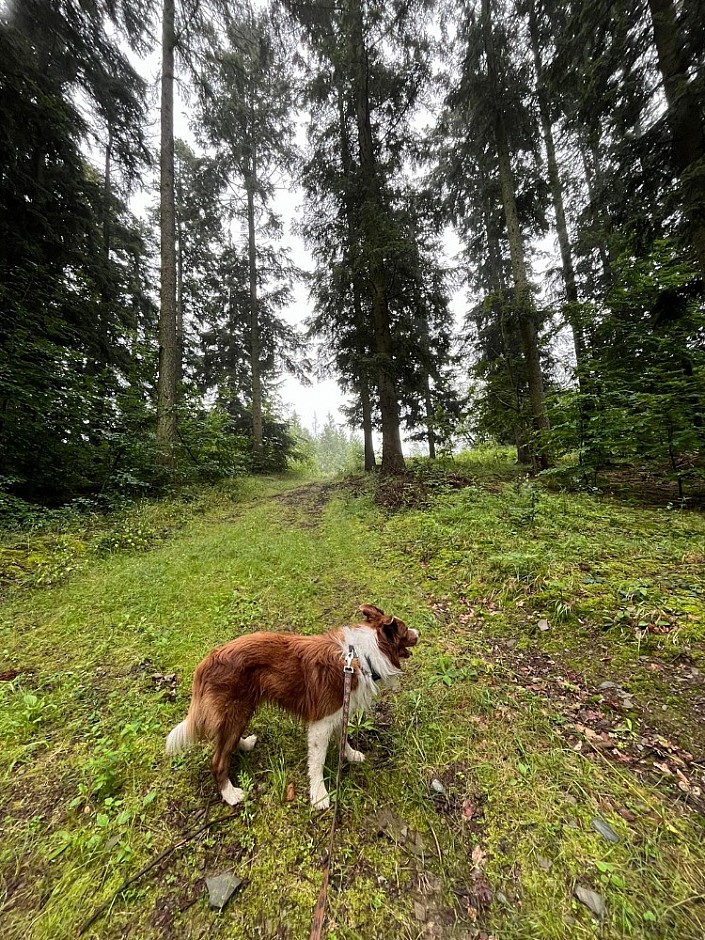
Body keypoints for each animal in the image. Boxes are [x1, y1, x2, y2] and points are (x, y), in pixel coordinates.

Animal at [165, 604, 418, 812]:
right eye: (406, 630)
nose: (419, 633)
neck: (361, 657)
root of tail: (207, 661)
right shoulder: (321, 722)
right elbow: (317, 762)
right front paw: (319, 795)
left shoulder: (338, 711)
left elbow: (343, 737)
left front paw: (350, 754)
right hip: (235, 711)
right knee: (218, 760)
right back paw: (230, 794)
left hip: (240, 711)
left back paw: (244, 744)